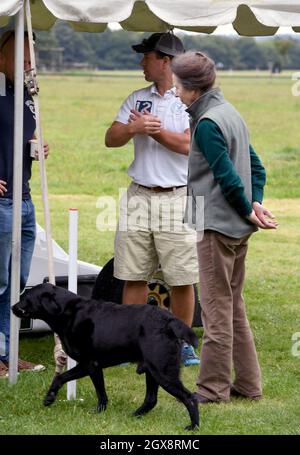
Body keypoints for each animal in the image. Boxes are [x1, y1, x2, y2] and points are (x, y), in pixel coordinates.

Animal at [12, 284, 199, 430]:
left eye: (26, 297)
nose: (12, 306)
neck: (67, 312)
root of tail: (170, 320)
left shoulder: (90, 364)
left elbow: (96, 391)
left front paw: (96, 411)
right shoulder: (90, 365)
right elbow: (62, 378)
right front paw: (50, 398)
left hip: (162, 371)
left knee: (190, 398)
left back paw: (193, 427)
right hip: (152, 370)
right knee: (151, 399)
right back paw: (135, 415)